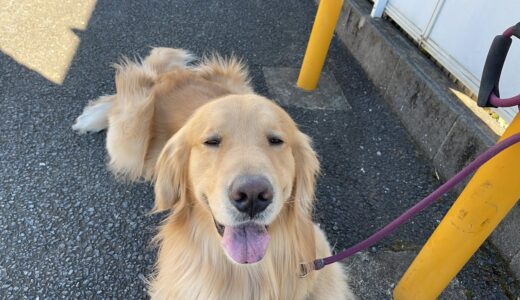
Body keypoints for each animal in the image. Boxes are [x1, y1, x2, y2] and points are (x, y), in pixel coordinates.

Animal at [73, 48, 356, 298]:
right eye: (211, 141)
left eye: (276, 140)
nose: (253, 195)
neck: (249, 275)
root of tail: (175, 79)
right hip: (129, 142)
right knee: (134, 80)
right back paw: (91, 117)